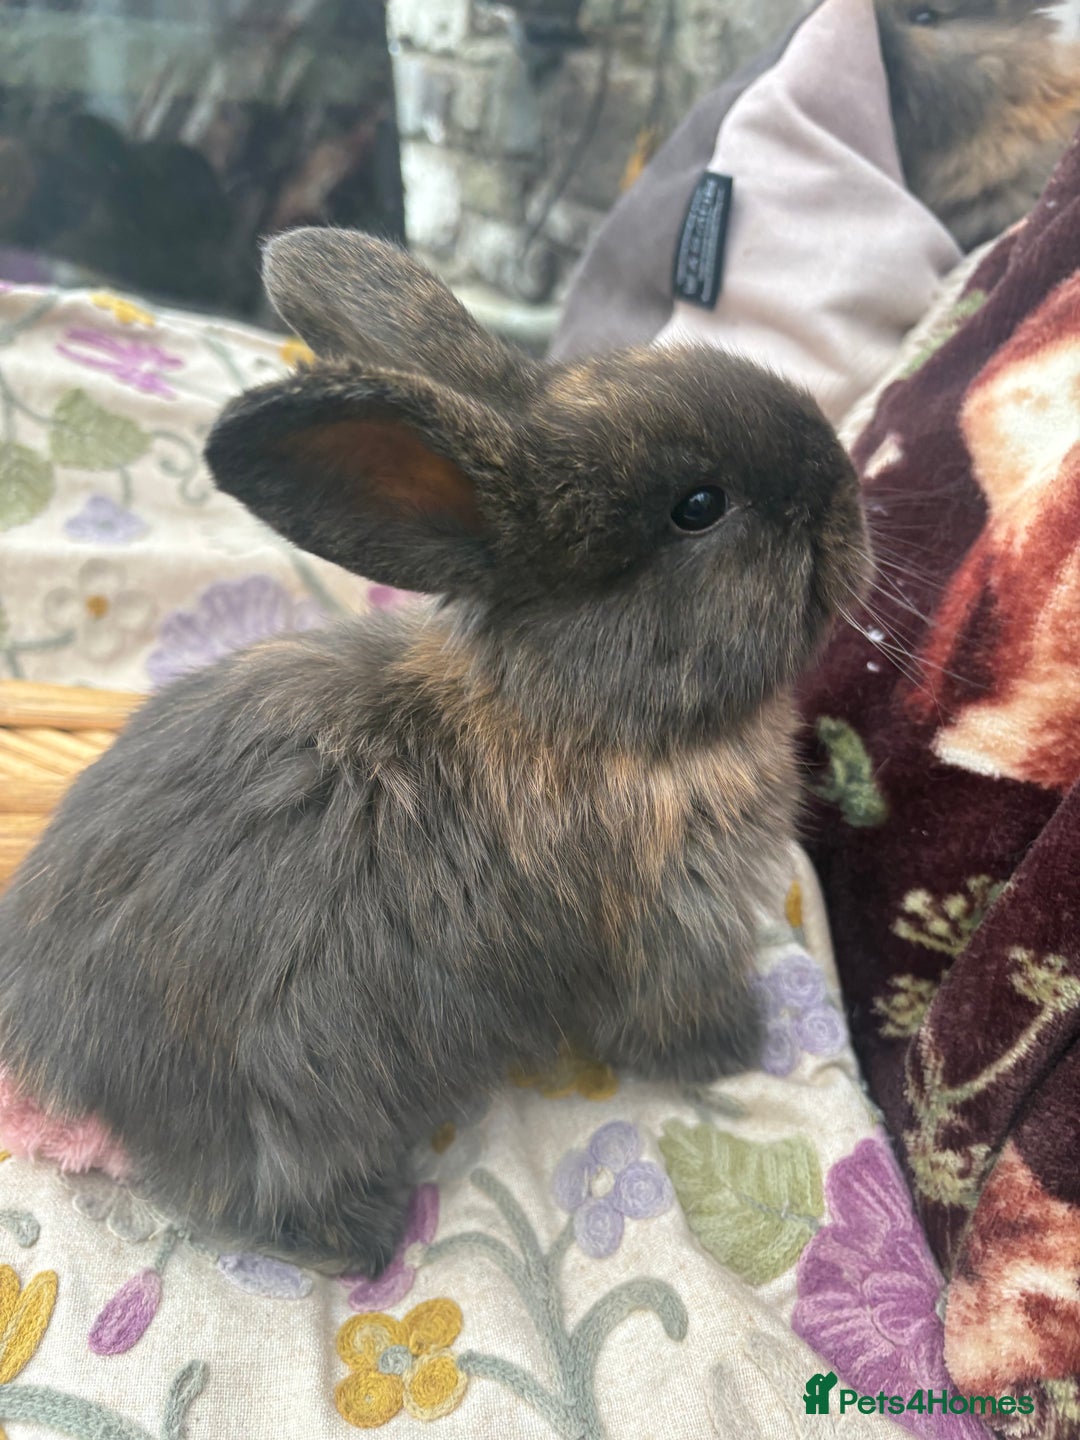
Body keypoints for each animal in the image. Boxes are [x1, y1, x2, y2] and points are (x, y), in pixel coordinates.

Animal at [0, 228, 868, 1274]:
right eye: (699, 506)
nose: (847, 484)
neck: (586, 715)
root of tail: (53, 1062)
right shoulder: (666, 936)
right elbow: (668, 1017)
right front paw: (742, 1043)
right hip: (300, 1108)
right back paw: (374, 1231)